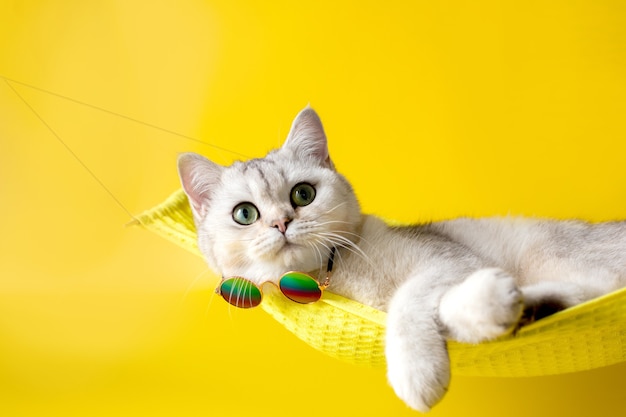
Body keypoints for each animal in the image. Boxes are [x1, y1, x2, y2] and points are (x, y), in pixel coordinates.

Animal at [177, 105, 624, 412]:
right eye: (245, 214)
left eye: (303, 194)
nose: (281, 223)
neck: (334, 274)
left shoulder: (449, 259)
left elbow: (406, 301)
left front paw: (416, 373)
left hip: (557, 251)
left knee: (596, 286)